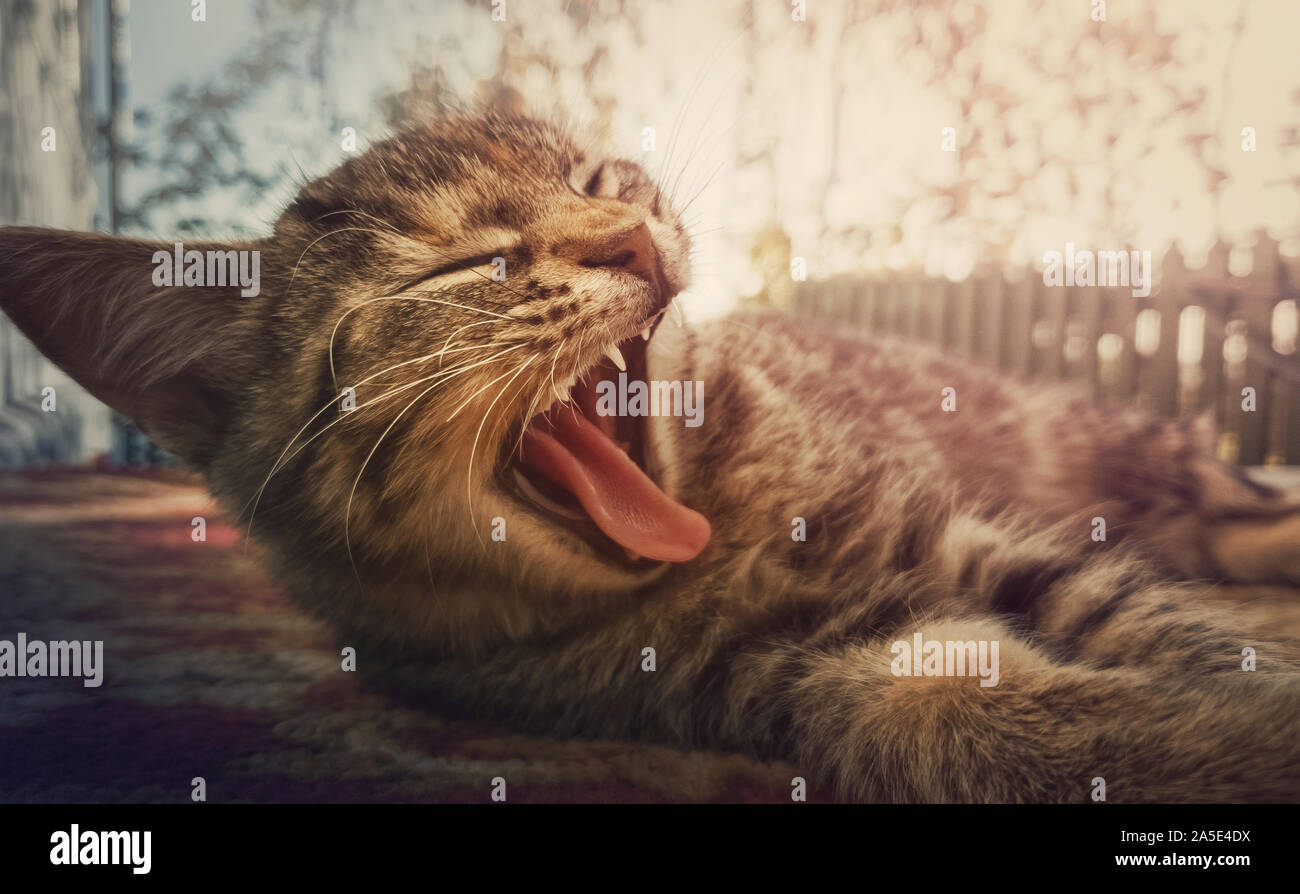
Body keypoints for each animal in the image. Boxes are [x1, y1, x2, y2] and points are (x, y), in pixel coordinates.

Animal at [2, 109, 1300, 805]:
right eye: (462, 265)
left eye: (593, 179)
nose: (630, 233)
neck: (715, 532)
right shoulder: (780, 669)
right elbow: (938, 708)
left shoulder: (948, 532)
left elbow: (1156, 626)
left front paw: (1249, 704)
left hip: (1107, 443)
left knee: (1226, 503)